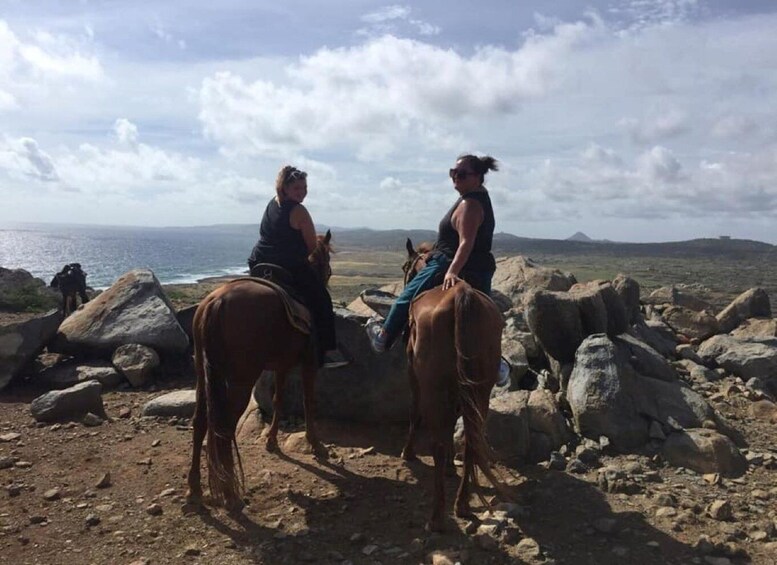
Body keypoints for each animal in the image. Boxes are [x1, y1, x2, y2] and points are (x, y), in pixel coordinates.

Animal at [189, 229, 334, 512]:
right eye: (327, 263)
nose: (327, 276)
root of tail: (216, 302)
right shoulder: (309, 363)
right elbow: (307, 401)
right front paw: (316, 444)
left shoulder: (282, 365)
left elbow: (278, 400)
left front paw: (272, 441)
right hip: (241, 381)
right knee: (224, 426)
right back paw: (230, 495)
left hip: (203, 375)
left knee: (200, 422)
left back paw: (195, 489)